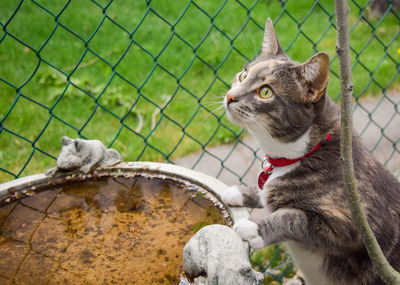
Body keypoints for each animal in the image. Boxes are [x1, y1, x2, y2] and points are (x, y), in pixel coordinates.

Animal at [222, 18, 400, 284]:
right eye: (243, 74)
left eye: (266, 92)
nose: (230, 96)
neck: (297, 155)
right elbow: (264, 192)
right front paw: (238, 192)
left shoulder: (355, 228)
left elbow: (295, 217)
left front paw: (255, 228)